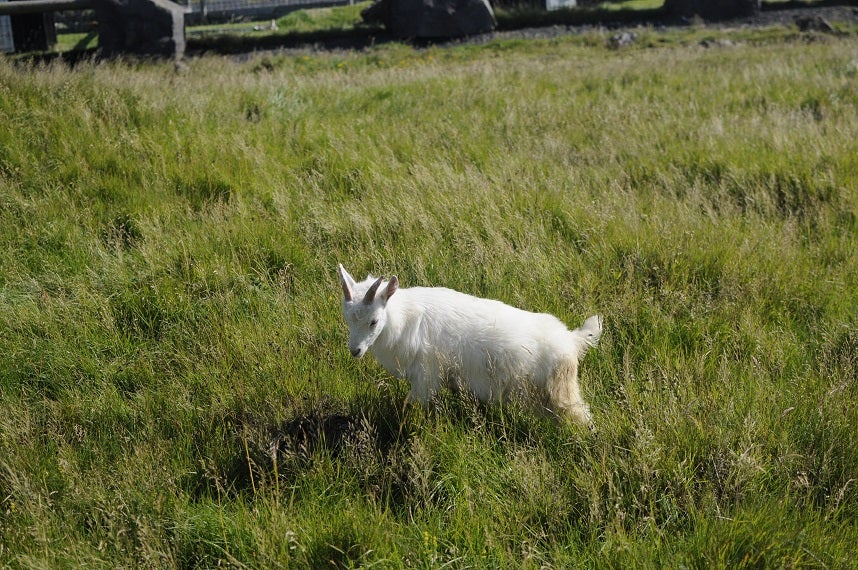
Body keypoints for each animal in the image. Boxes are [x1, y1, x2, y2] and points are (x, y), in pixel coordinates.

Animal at [336, 264, 600, 424]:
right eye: (347, 318)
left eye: (373, 321)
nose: (355, 351)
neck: (405, 319)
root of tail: (571, 339)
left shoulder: (426, 377)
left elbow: (410, 405)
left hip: (562, 393)